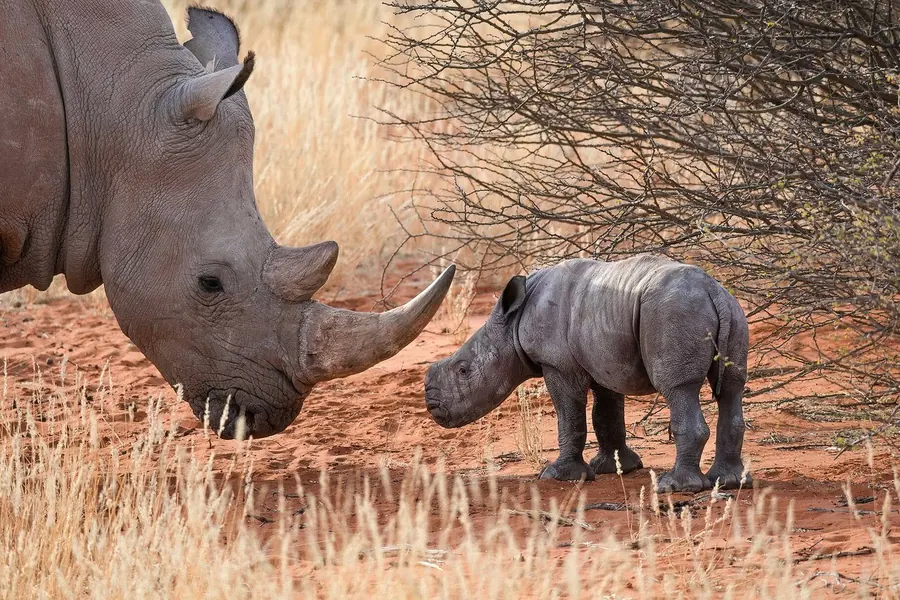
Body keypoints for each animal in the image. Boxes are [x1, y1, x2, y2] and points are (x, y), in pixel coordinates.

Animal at [425, 256, 750, 493]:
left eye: (463, 371)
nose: (433, 406)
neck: (511, 324)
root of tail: (712, 291)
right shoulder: (604, 359)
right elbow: (607, 416)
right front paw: (617, 467)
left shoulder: (558, 365)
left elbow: (569, 416)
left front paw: (559, 475)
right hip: (731, 312)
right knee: (732, 388)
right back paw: (730, 482)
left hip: (674, 315)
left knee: (679, 389)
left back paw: (675, 487)